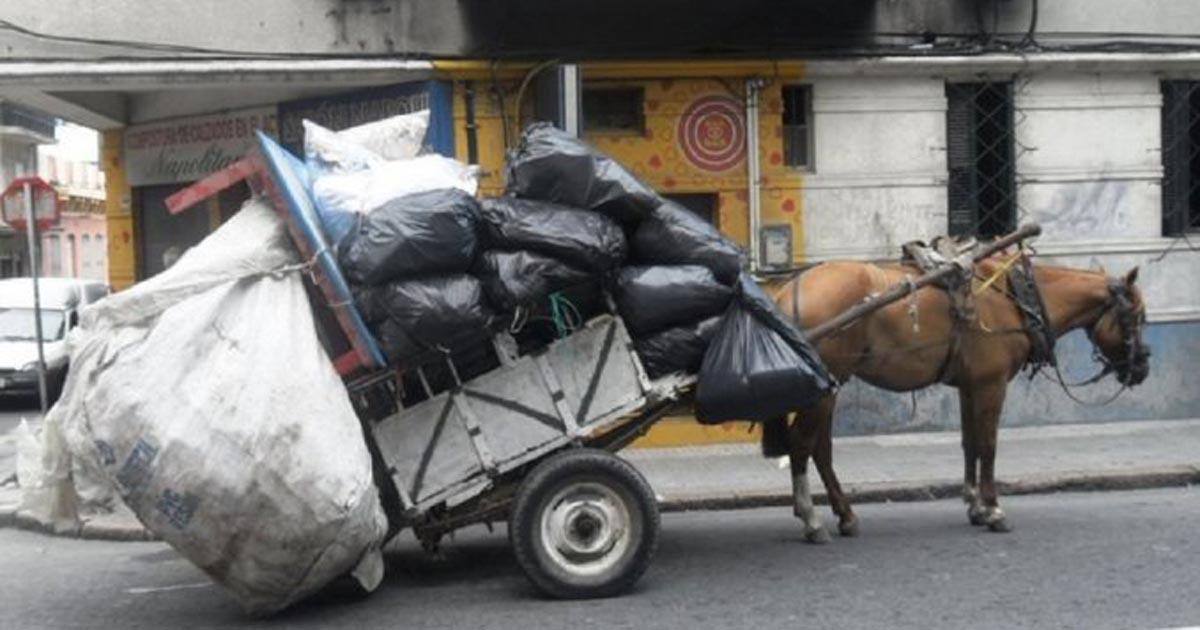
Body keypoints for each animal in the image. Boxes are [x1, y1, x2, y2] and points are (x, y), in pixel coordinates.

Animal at [763, 253, 1147, 542]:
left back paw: (845, 516)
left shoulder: (970, 384)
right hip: (824, 387)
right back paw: (811, 519)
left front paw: (975, 506)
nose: (1142, 368)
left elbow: (970, 443)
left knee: (820, 449)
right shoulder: (992, 384)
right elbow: (989, 446)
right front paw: (993, 510)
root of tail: (788, 292)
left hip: (830, 385)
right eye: (1137, 316)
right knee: (802, 445)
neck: (1015, 298)